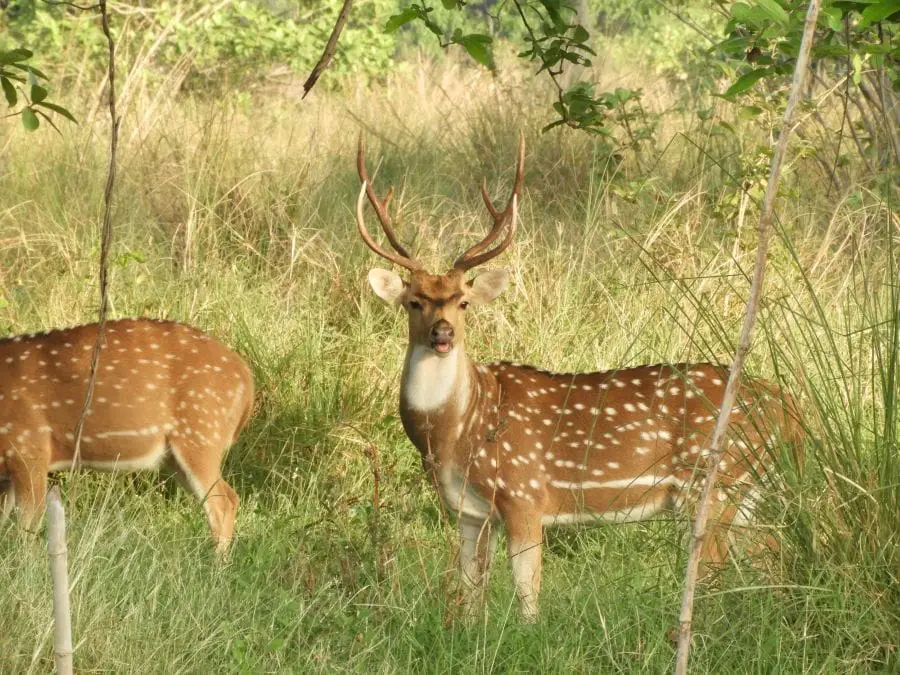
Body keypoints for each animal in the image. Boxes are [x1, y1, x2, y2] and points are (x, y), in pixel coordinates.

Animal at [0, 318, 253, 556]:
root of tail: (246, 378)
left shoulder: (29, 447)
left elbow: (26, 527)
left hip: (201, 430)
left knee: (223, 502)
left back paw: (216, 565)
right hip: (176, 455)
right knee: (226, 498)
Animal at [356, 136, 800, 624]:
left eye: (463, 302)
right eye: (414, 302)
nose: (442, 333)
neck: (456, 430)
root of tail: (791, 409)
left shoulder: (525, 494)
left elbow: (528, 596)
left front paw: (529, 633)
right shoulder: (468, 512)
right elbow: (471, 593)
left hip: (714, 482)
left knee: (720, 569)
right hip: (748, 491)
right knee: (770, 553)